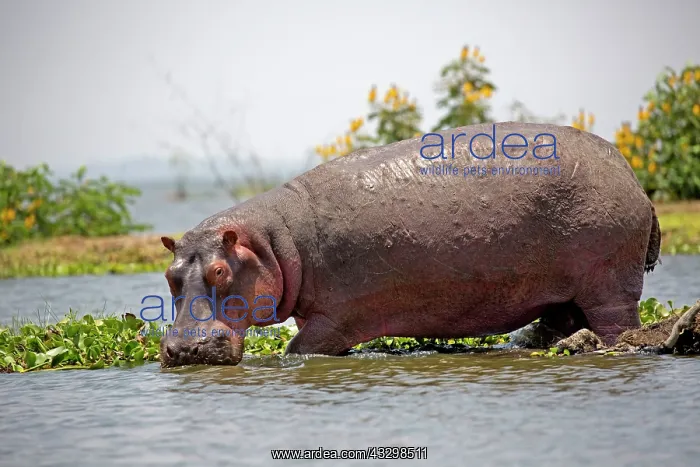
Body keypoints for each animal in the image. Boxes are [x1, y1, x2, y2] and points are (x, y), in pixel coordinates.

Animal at [159, 122, 660, 367]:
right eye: (169, 276)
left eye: (220, 271)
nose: (182, 350)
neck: (272, 241)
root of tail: (634, 179)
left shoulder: (336, 320)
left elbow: (298, 350)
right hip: (563, 293)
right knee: (561, 324)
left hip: (609, 285)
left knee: (617, 326)